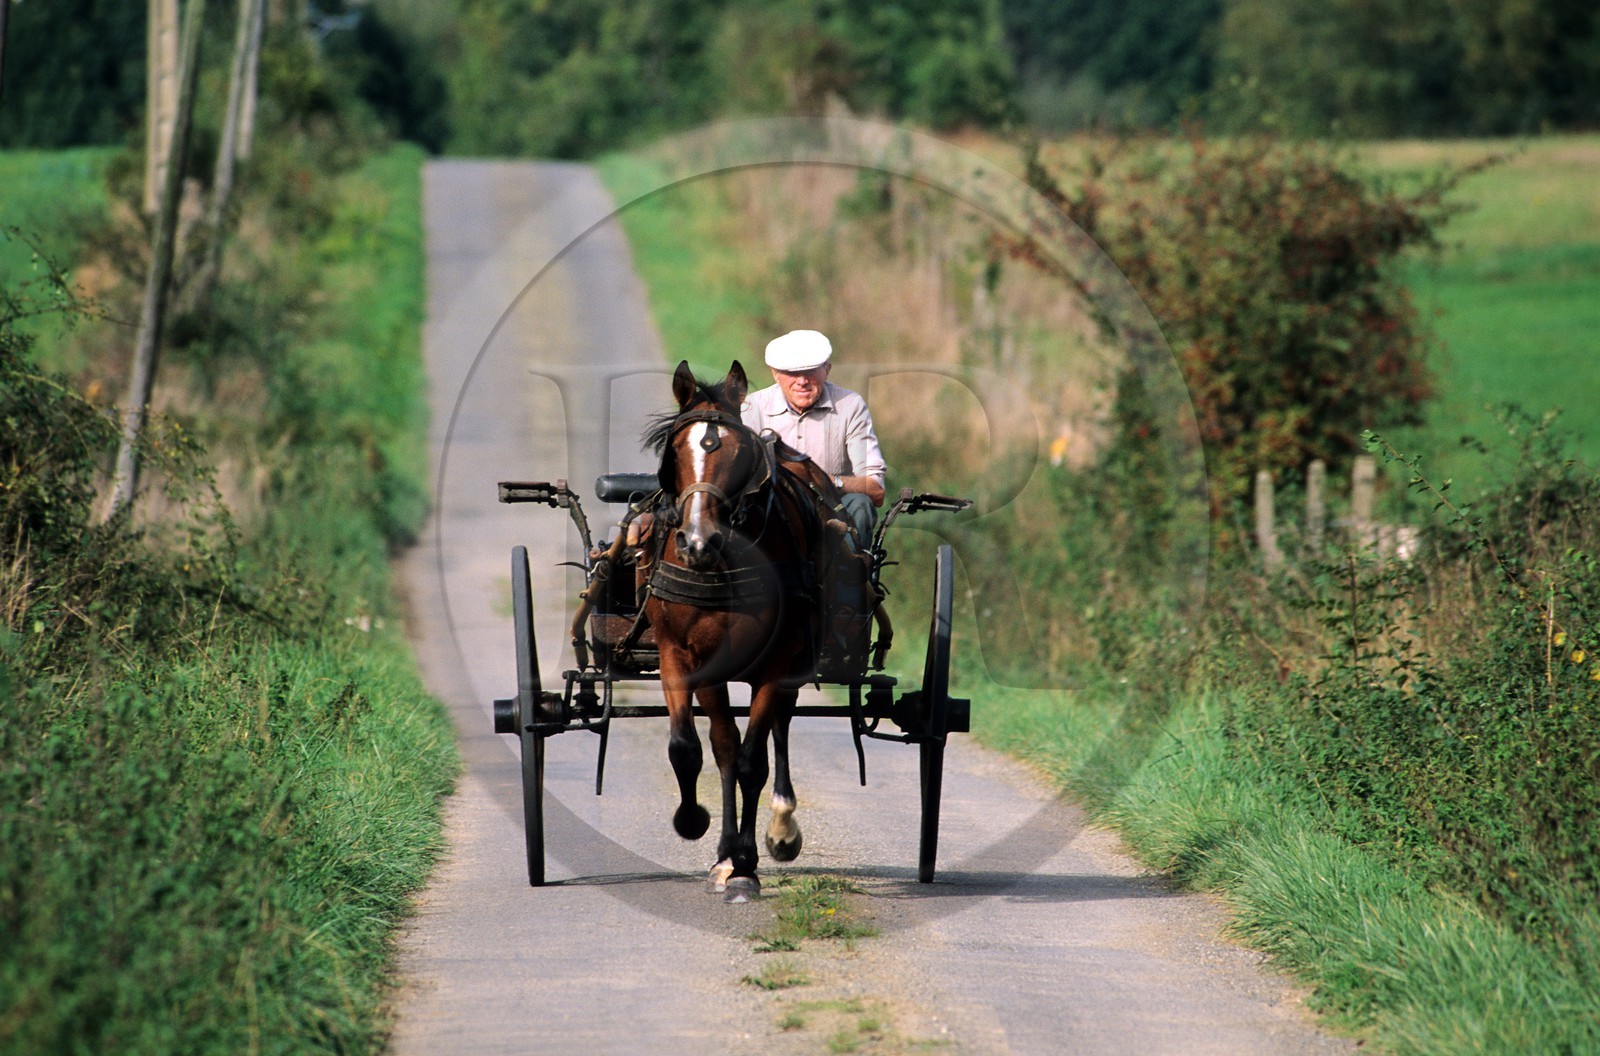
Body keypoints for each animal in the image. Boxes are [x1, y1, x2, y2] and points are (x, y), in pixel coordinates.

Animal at [641, 359, 837, 902]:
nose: (697, 542)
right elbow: (697, 748)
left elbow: (752, 761)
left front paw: (745, 862)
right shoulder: (687, 656)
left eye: (738, 453)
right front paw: (701, 830)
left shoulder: (777, 663)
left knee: (780, 729)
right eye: (676, 451)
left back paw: (781, 826)